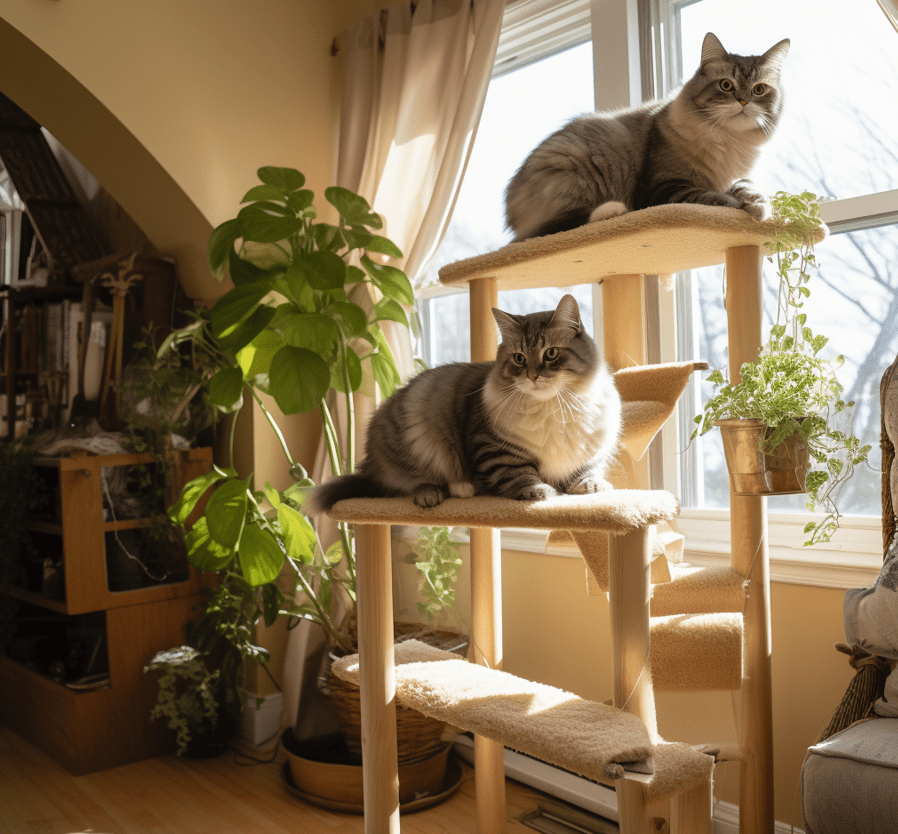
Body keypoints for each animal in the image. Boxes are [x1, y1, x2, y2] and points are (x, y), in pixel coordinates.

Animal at [308, 296, 616, 510]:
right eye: (519, 358)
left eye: (551, 353)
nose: (532, 376)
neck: (556, 407)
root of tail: (370, 462)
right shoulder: (493, 448)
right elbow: (520, 474)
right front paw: (540, 491)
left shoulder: (590, 452)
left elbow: (587, 471)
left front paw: (592, 485)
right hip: (419, 437)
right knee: (410, 484)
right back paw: (440, 493)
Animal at [508, 32, 788, 239]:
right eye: (726, 85)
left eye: (759, 90)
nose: (743, 101)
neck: (729, 140)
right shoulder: (665, 188)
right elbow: (708, 197)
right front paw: (736, 205)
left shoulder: (737, 176)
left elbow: (747, 188)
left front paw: (758, 207)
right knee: (560, 226)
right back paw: (613, 211)